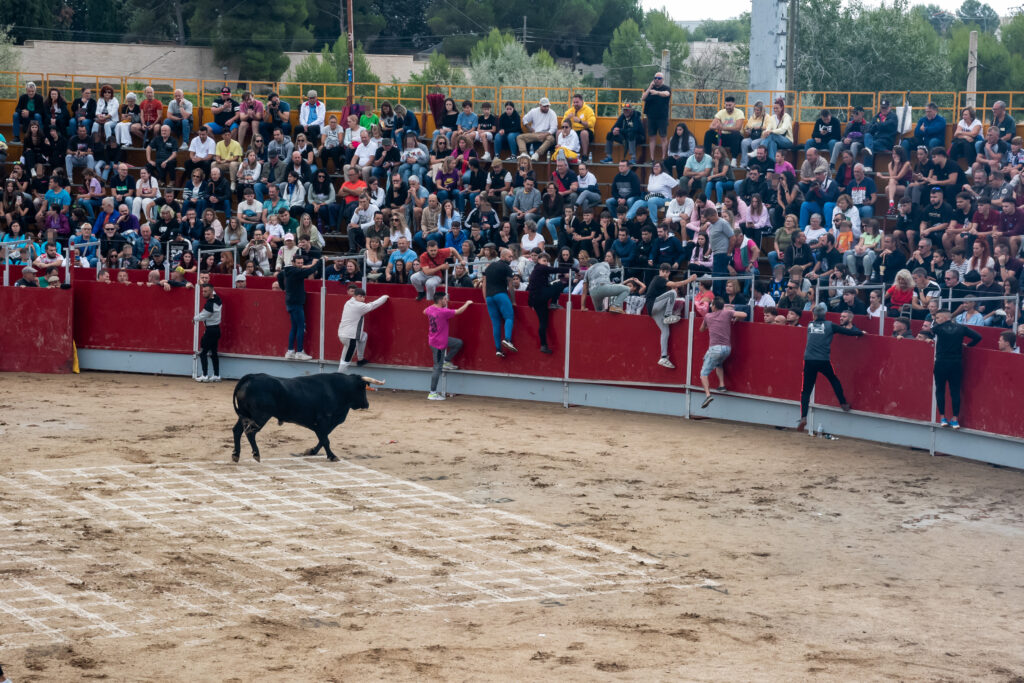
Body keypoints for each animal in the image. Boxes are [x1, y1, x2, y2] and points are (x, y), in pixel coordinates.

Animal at [231, 374, 385, 464]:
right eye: (362, 388)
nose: (366, 404)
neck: (338, 389)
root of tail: (251, 377)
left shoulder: (324, 424)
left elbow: (323, 438)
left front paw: (311, 451)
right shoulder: (323, 421)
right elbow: (325, 440)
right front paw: (332, 456)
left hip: (245, 415)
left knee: (237, 431)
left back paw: (236, 455)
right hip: (260, 416)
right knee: (250, 432)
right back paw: (256, 454)